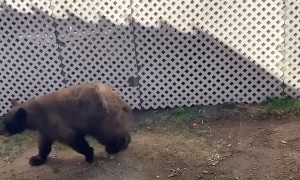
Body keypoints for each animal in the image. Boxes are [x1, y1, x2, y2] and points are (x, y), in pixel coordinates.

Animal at [0, 82, 132, 167]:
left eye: (6, 124)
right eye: (3, 122)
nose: (1, 132)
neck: (38, 114)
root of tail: (116, 96)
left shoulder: (56, 121)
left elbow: (74, 140)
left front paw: (89, 154)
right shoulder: (45, 128)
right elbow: (43, 145)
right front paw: (36, 159)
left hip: (99, 118)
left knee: (110, 134)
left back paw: (115, 147)